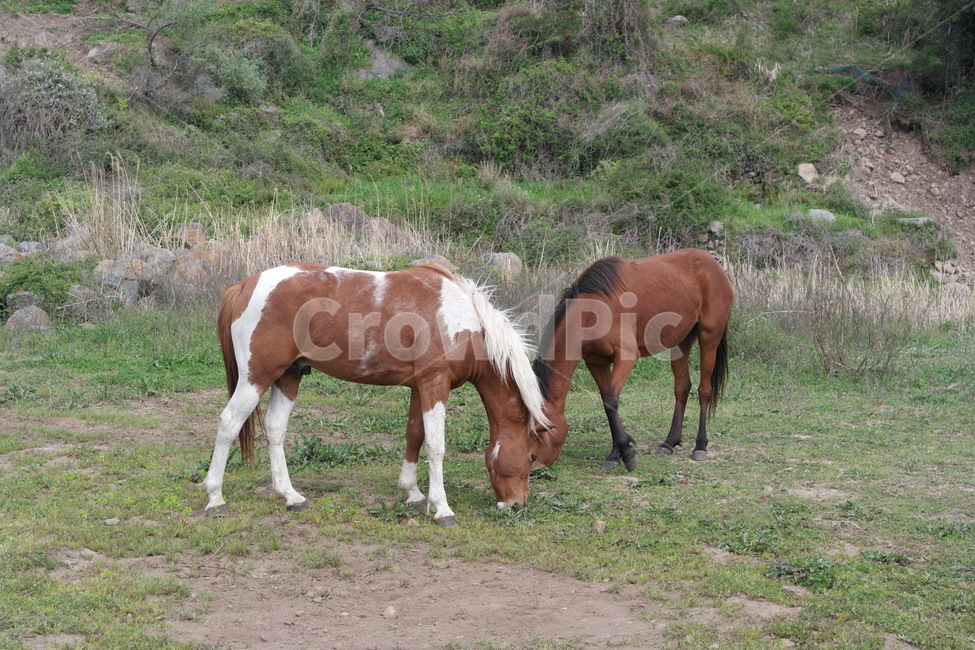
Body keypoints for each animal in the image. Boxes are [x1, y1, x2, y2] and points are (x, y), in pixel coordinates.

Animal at [202, 262, 550, 528]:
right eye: (532, 457)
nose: (517, 504)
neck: (462, 319)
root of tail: (245, 285)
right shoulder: (435, 385)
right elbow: (436, 445)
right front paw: (442, 508)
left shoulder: (419, 387)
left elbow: (414, 435)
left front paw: (412, 493)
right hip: (256, 378)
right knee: (229, 423)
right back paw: (215, 498)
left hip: (288, 376)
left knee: (275, 428)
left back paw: (290, 496)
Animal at [532, 248, 732, 470]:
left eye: (540, 433)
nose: (533, 466)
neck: (593, 310)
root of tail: (713, 263)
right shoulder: (597, 362)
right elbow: (608, 403)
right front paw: (615, 454)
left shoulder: (626, 357)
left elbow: (611, 402)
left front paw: (627, 454)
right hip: (681, 342)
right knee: (682, 387)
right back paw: (669, 442)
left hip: (709, 337)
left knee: (704, 390)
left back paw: (700, 446)